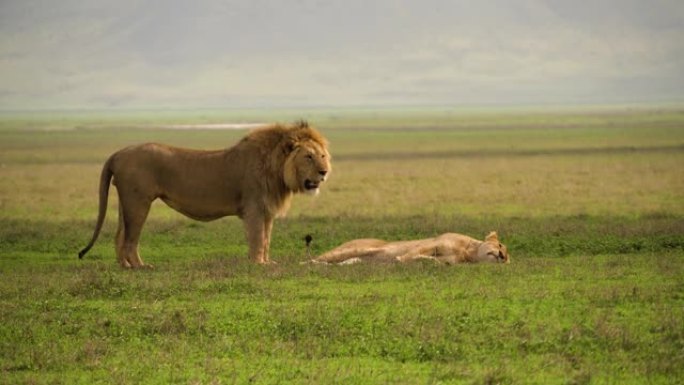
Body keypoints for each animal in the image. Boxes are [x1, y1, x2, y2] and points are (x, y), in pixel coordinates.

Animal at [80, 121, 332, 266]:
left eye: (322, 155)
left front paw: (268, 262)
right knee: (130, 239)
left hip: (126, 203)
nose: (324, 172)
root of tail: (119, 153)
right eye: (308, 156)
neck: (277, 169)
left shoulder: (267, 211)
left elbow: (267, 239)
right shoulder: (254, 208)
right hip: (138, 202)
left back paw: (124, 266)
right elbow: (258, 238)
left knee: (119, 236)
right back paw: (140, 267)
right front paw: (257, 264)